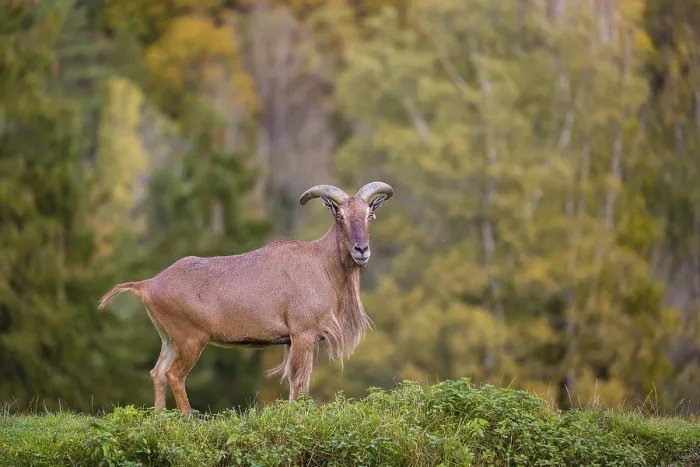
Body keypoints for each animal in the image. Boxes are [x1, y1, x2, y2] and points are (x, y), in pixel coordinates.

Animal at [98, 181, 393, 415]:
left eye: (370, 213)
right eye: (339, 215)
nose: (361, 250)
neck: (321, 265)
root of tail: (147, 285)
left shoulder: (297, 341)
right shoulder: (302, 334)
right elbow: (297, 382)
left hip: (168, 339)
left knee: (157, 373)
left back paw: (161, 418)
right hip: (190, 339)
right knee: (174, 374)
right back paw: (189, 418)